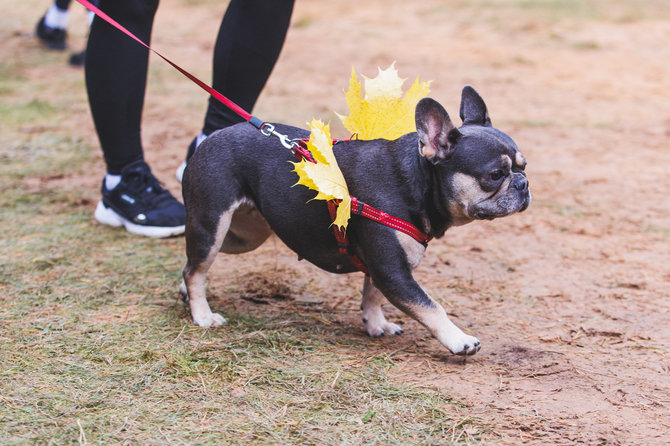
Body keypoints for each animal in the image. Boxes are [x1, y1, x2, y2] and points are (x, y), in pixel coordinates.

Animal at [180, 86, 532, 356]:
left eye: (523, 166)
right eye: (495, 175)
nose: (523, 184)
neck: (416, 181)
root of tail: (210, 139)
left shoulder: (384, 266)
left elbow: (372, 295)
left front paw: (376, 325)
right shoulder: (394, 272)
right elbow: (430, 306)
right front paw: (459, 339)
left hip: (244, 235)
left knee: (192, 264)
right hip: (213, 223)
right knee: (196, 268)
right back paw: (203, 315)